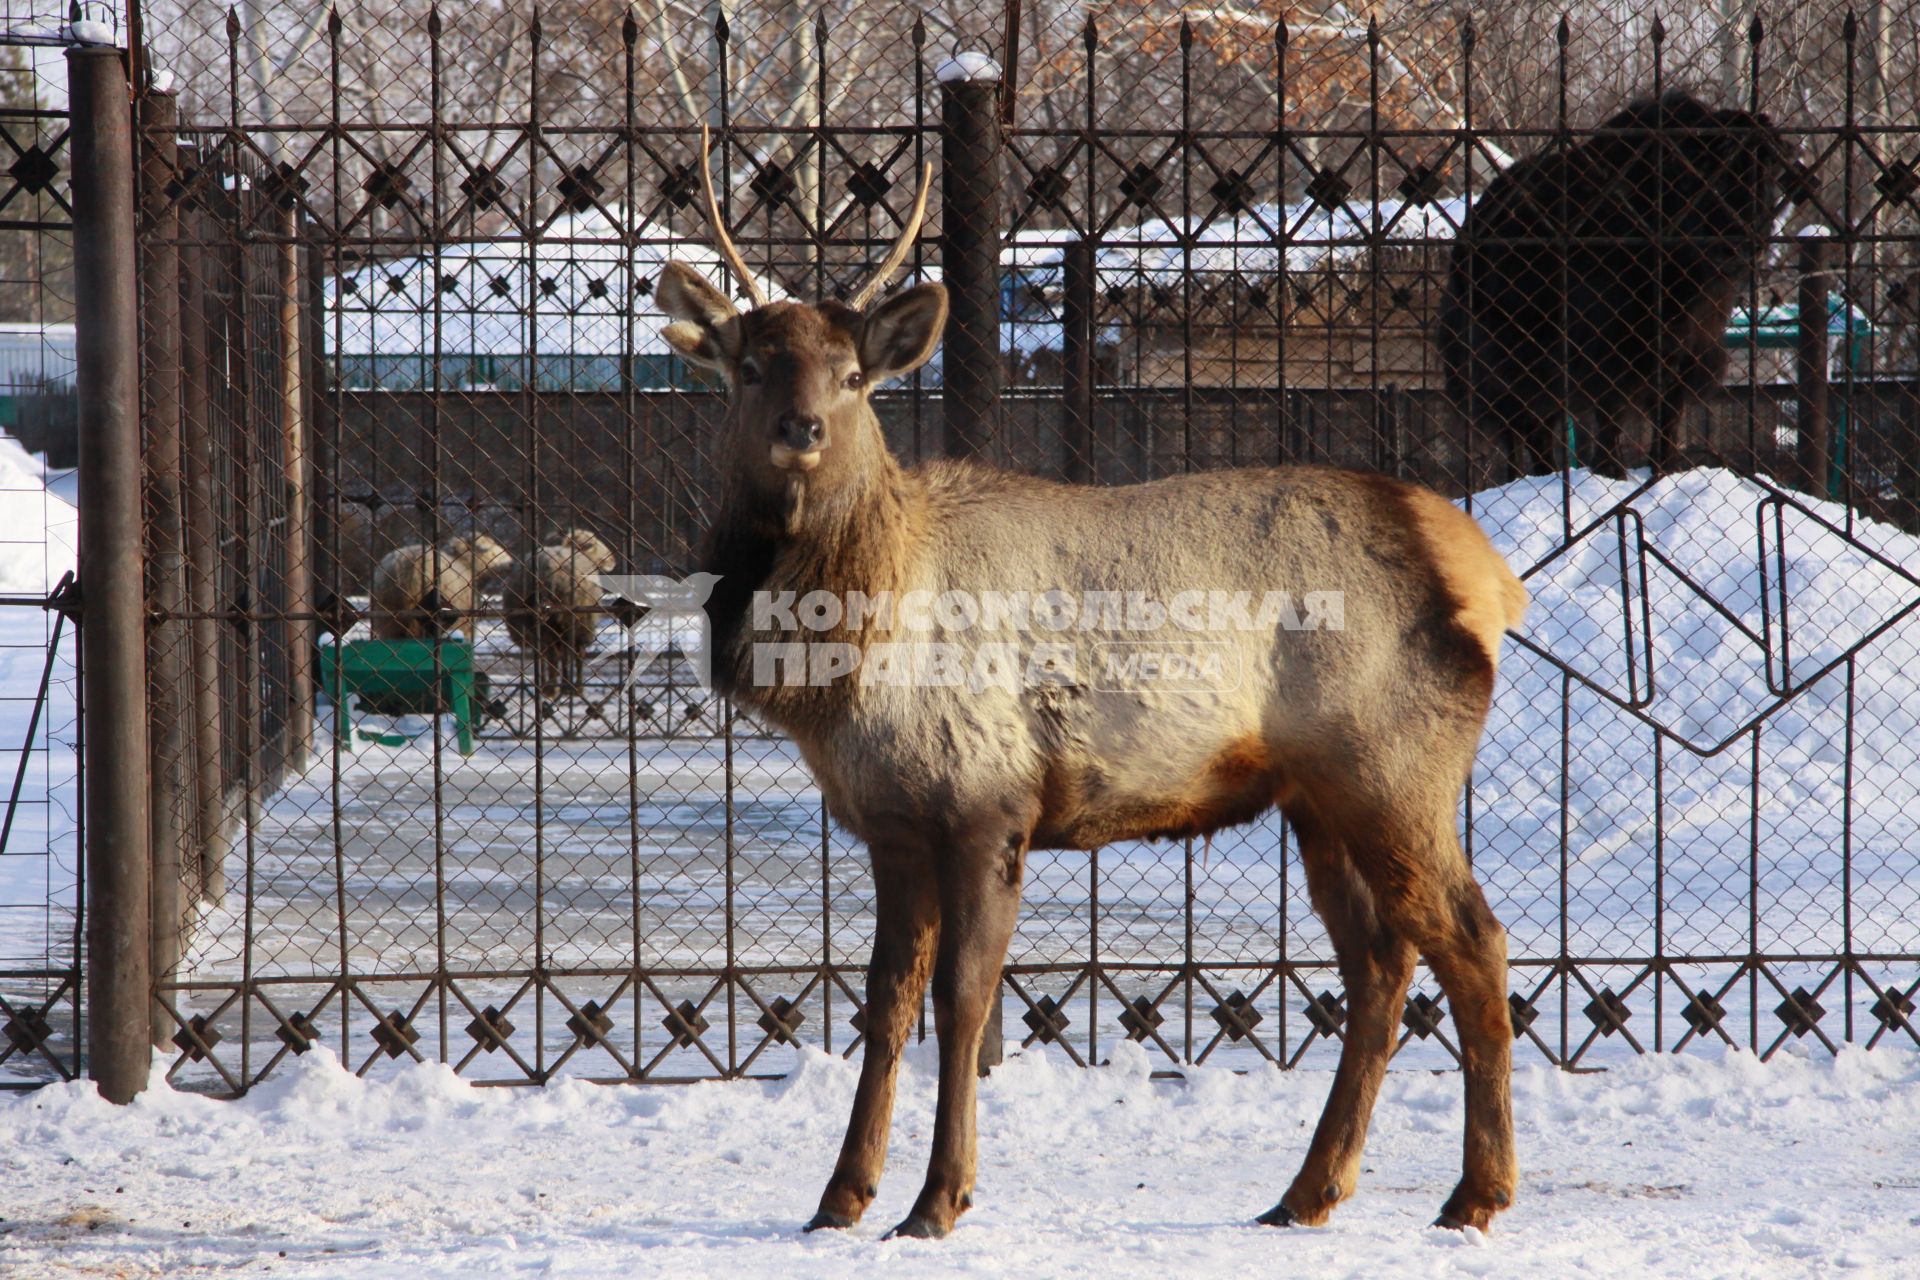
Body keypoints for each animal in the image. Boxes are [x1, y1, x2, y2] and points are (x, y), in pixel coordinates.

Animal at [660, 127, 1528, 1243]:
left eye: (852, 374)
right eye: (753, 364)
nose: (801, 428)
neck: (849, 663)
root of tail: (1484, 571)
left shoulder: (991, 801)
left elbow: (966, 1001)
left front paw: (939, 1199)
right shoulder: (891, 821)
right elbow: (884, 999)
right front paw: (840, 1197)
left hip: (1395, 768)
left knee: (1475, 940)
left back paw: (1475, 1192)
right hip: (1318, 797)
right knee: (1380, 963)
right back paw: (1307, 1191)